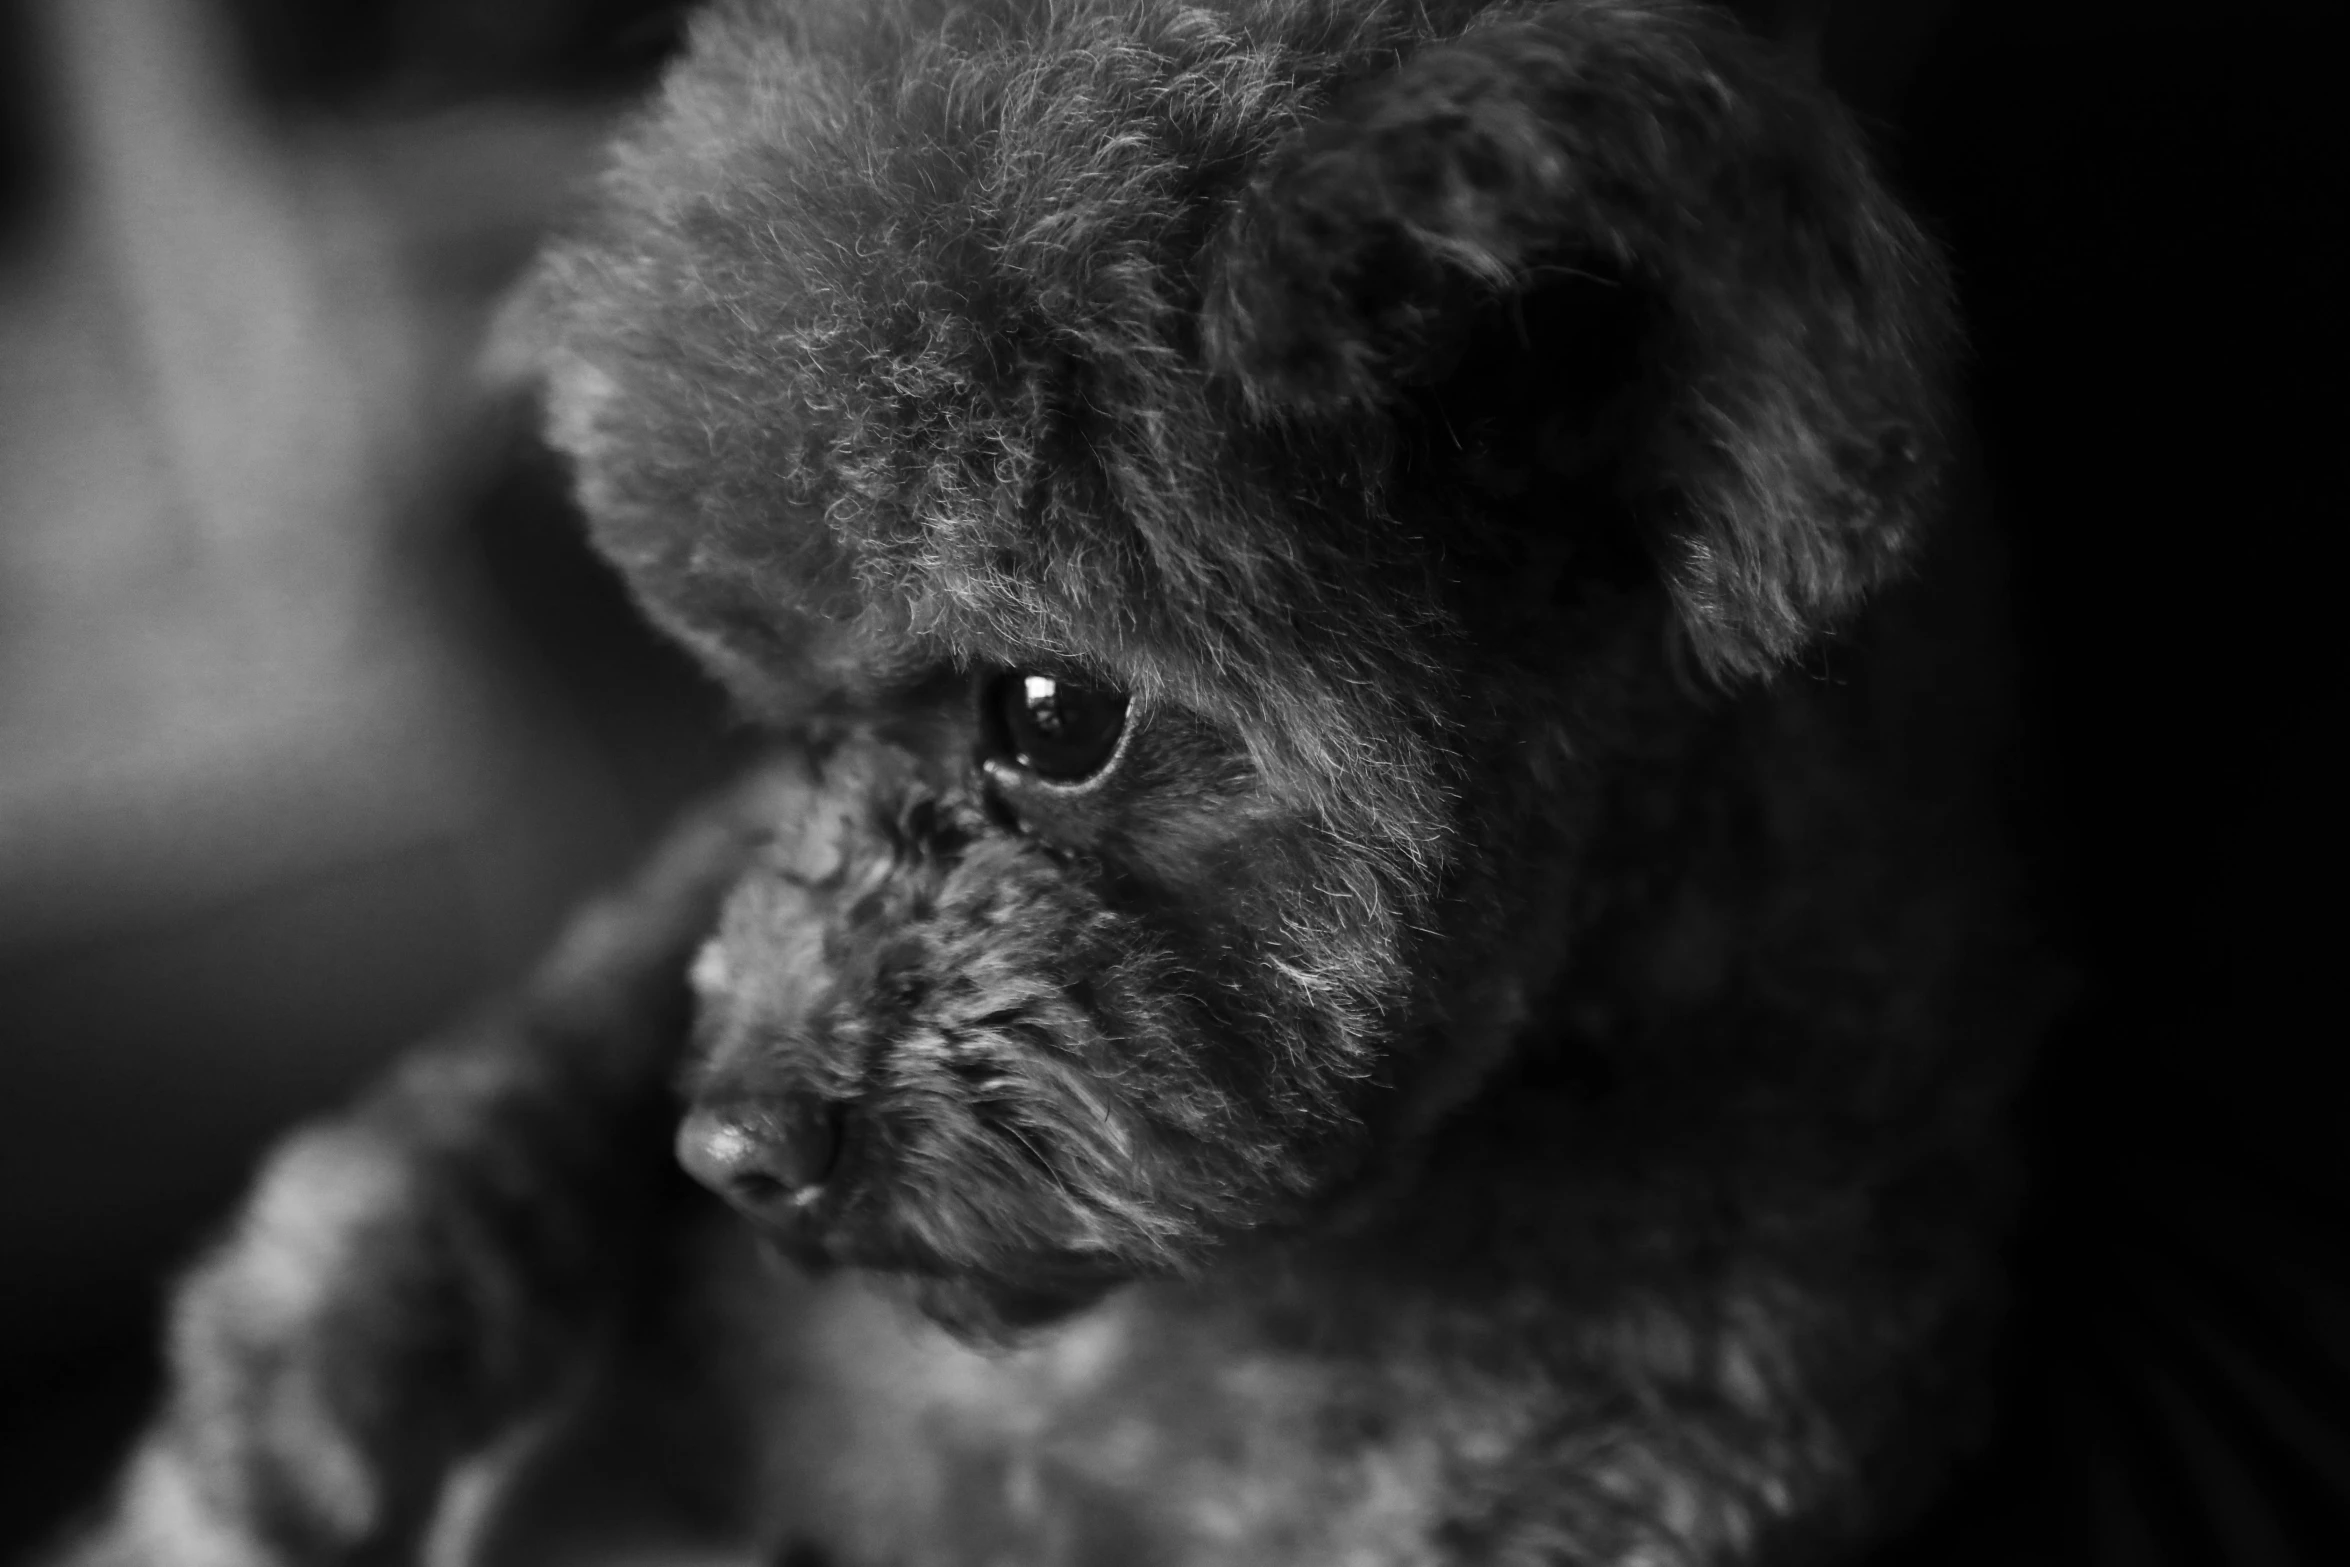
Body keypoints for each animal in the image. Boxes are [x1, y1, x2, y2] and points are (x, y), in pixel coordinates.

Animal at [50, 3, 2039, 1567]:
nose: (731, 1148)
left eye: (1052, 712)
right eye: (792, 730)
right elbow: (498, 1089)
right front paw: (264, 1438)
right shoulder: (663, 940)